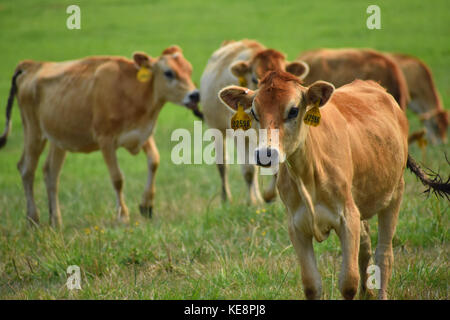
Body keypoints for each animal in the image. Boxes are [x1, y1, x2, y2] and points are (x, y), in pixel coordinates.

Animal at [0, 45, 200, 228]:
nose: (195, 95)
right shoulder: (106, 140)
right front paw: (123, 216)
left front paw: (147, 205)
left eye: (189, 70)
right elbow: (117, 178)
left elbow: (154, 161)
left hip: (58, 139)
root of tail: (31, 65)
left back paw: (56, 221)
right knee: (27, 169)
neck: (132, 91)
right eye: (169, 73)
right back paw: (33, 219)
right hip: (33, 131)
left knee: (50, 173)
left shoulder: (143, 133)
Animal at [221, 70, 450, 300]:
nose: (265, 154)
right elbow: (311, 285)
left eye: (293, 110)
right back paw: (367, 292)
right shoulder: (297, 225)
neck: (307, 174)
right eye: (254, 112)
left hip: (395, 193)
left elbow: (348, 282)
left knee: (384, 255)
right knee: (365, 245)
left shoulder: (347, 217)